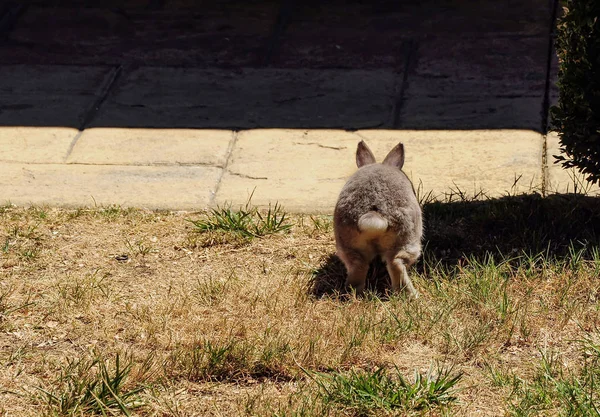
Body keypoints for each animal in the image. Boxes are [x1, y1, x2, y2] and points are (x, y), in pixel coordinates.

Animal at [332, 141, 422, 298]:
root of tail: (374, 214)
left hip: (349, 245)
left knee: (358, 266)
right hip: (407, 240)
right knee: (396, 263)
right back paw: (411, 296)